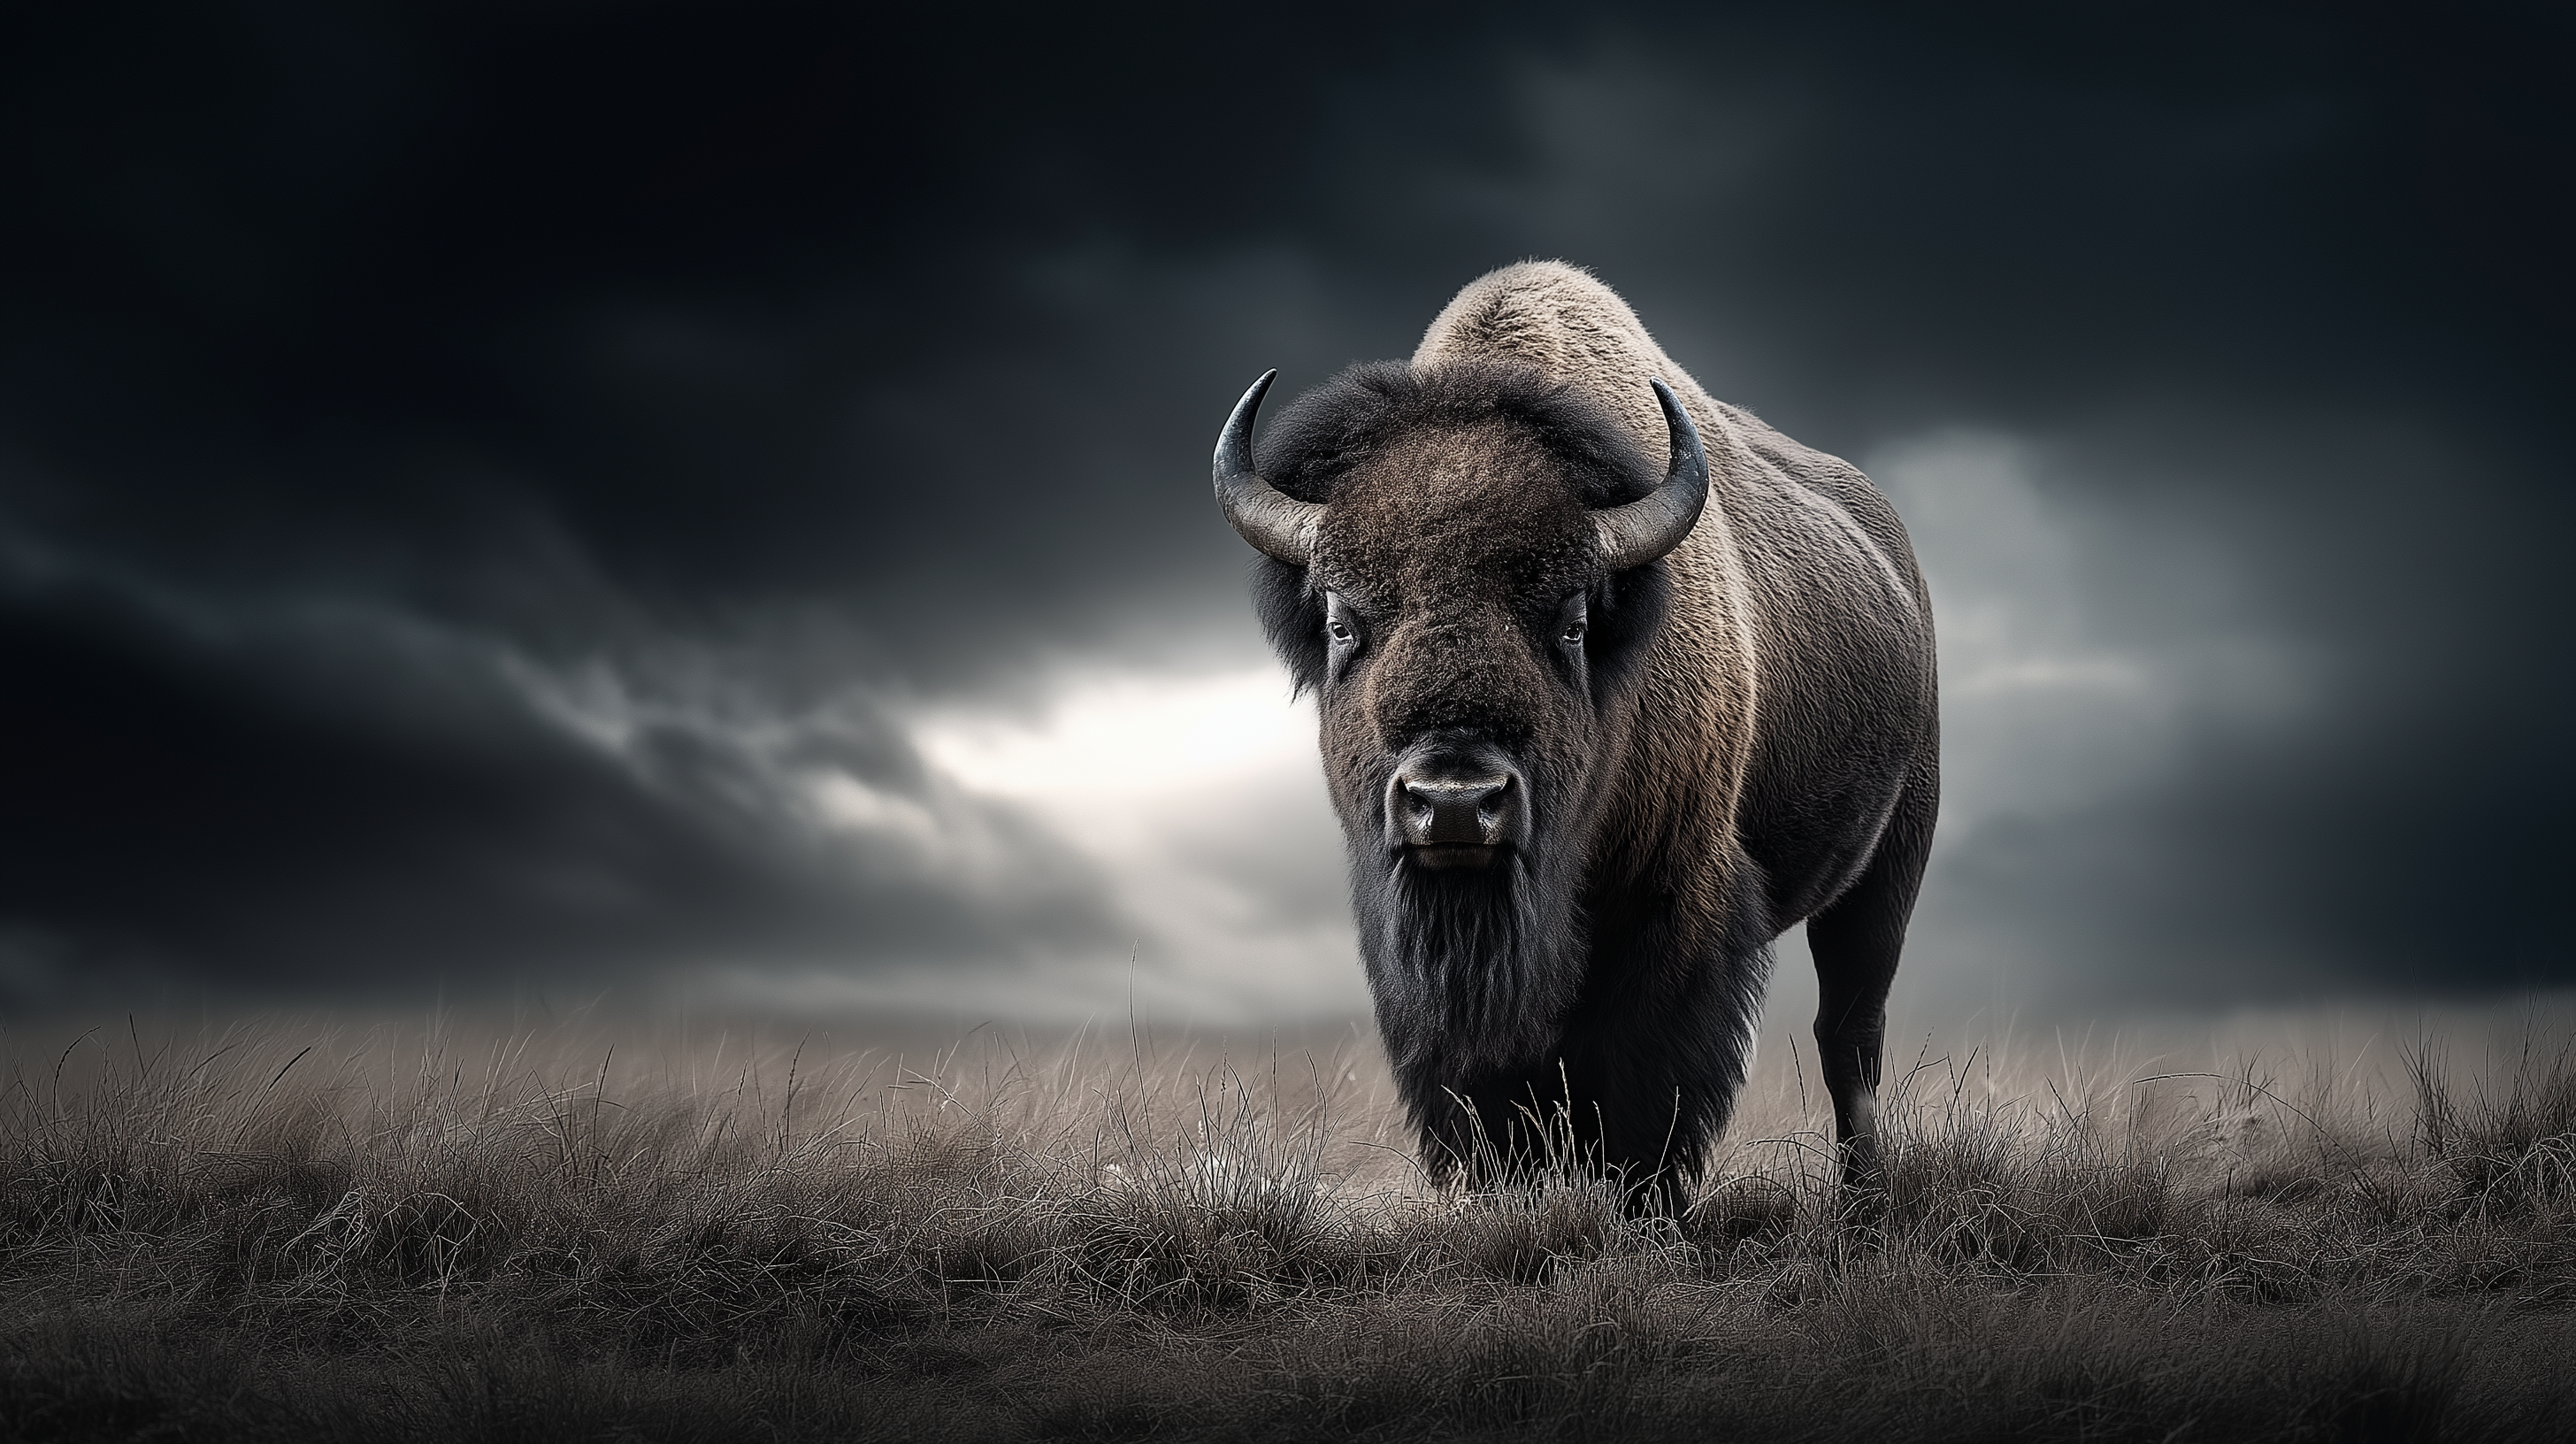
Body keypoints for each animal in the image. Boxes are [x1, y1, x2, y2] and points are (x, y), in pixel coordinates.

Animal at [1211, 262, 1938, 1201]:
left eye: (1570, 620)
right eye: (1341, 620)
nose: (1455, 802)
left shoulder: (1676, 906)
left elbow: (1642, 1086)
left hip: (1888, 870)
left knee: (1849, 1034)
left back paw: (1860, 1193)